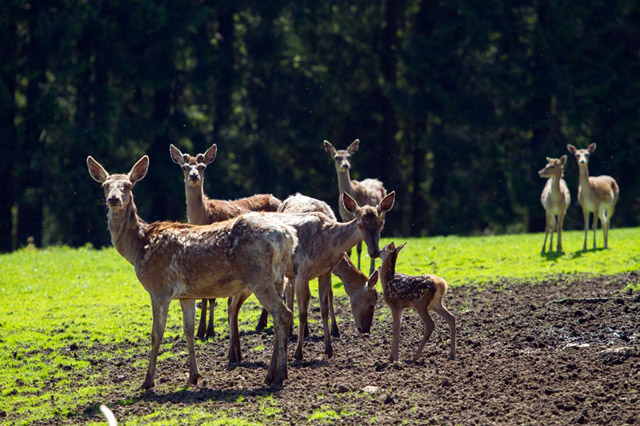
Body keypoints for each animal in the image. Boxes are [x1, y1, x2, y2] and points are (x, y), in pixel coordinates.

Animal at [169, 145, 282, 342]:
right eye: (184, 167)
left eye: (202, 167)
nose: (194, 176)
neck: (204, 217)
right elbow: (204, 295)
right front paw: (200, 331)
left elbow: (212, 297)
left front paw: (209, 331)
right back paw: (261, 323)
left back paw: (261, 323)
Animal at [225, 191, 396, 362]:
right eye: (360, 225)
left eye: (380, 224)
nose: (365, 329)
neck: (328, 245)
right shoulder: (301, 272)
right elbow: (302, 312)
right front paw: (298, 353)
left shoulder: (324, 273)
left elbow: (324, 307)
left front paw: (329, 349)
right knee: (232, 304)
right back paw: (232, 354)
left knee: (234, 304)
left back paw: (237, 354)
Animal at [324, 138, 384, 274]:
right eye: (336, 157)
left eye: (349, 157)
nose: (345, 165)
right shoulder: (344, 217)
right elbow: (349, 248)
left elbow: (359, 248)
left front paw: (359, 268)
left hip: (383, 216)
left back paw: (372, 269)